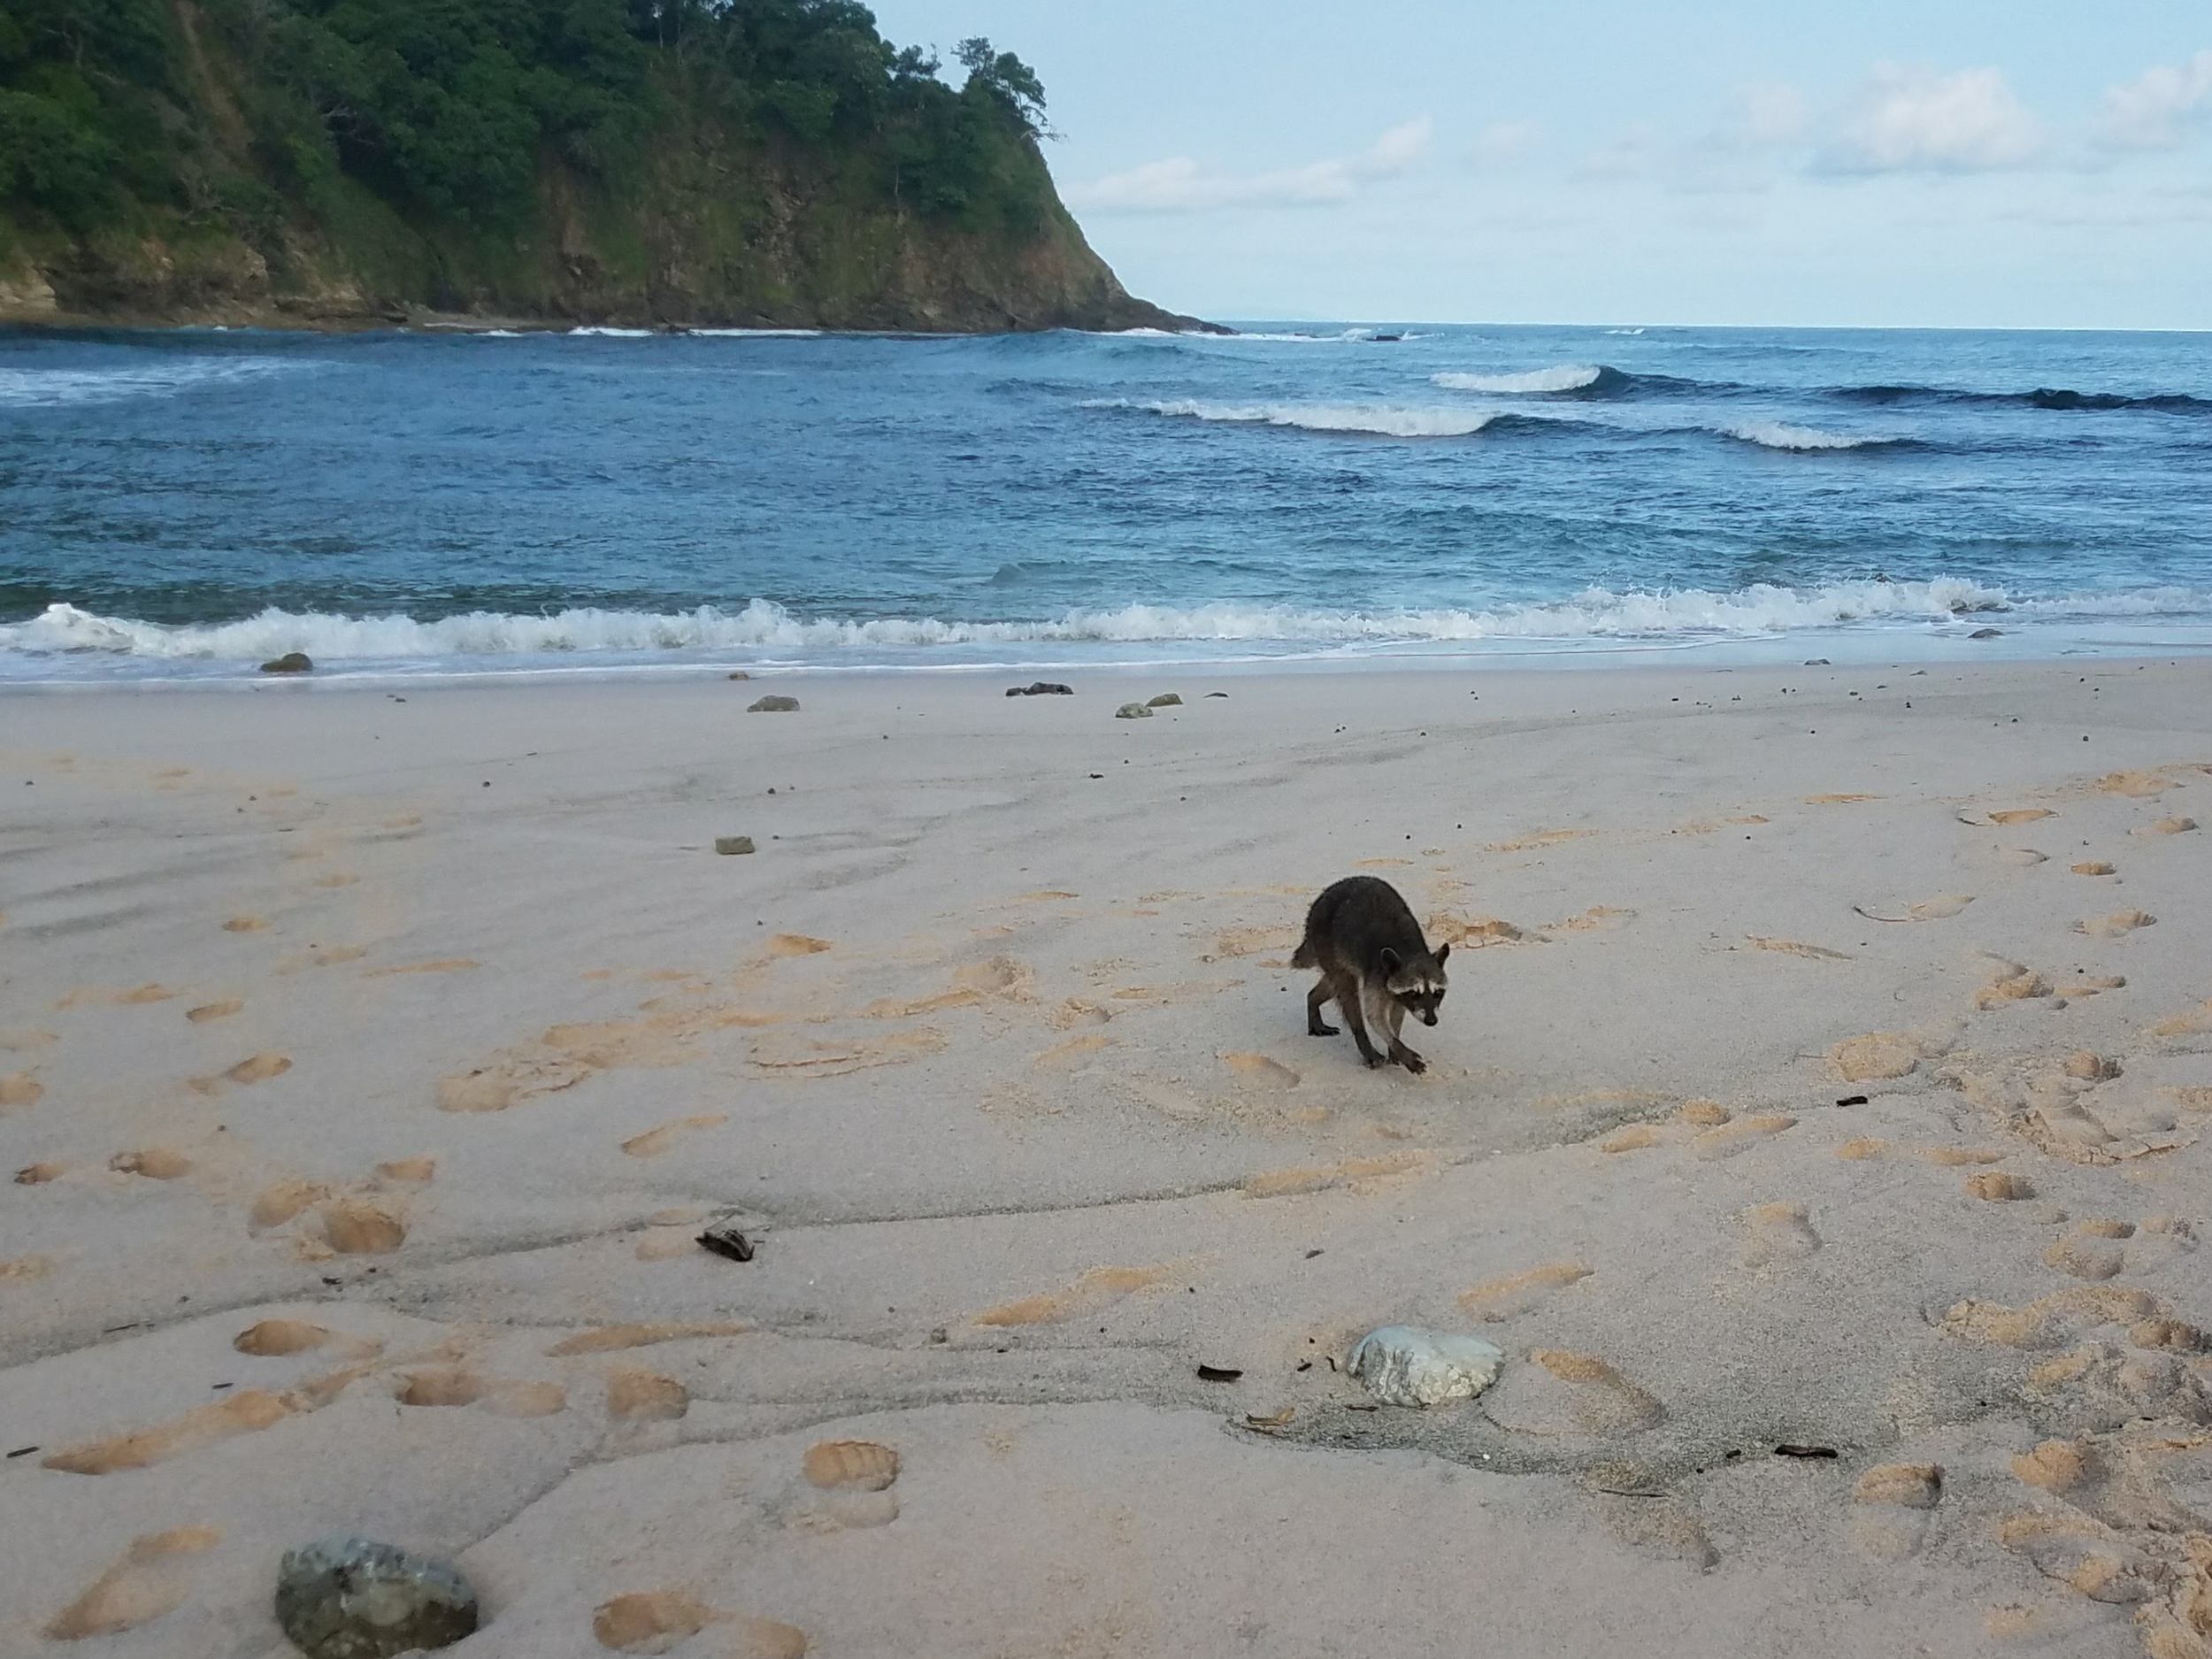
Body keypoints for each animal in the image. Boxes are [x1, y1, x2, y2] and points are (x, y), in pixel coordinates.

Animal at [1290, 875, 1450, 1073]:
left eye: (1438, 993)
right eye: (1414, 993)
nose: (1431, 1021)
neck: (1409, 951)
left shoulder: (1395, 988)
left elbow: (1397, 1013)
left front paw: (1394, 1046)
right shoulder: (1378, 973)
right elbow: (1375, 1015)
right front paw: (1397, 1045)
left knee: (1332, 983)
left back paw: (1313, 999)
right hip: (1325, 941)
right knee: (1347, 990)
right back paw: (1364, 1042)